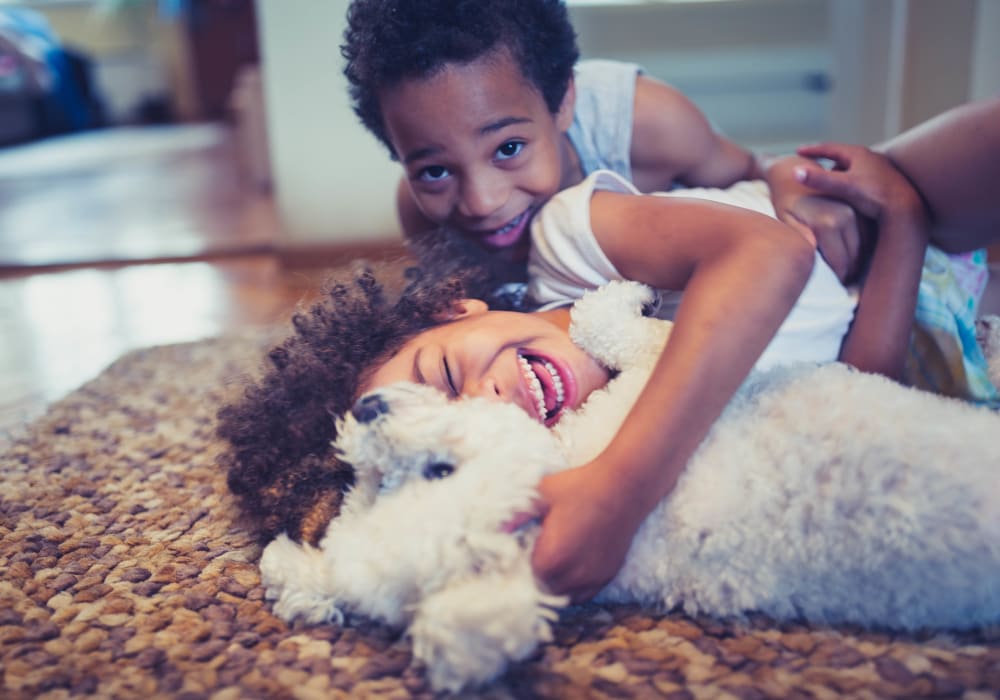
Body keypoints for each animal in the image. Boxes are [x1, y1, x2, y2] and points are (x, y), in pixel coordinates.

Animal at [260, 280, 1000, 696]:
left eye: (424, 473)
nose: (366, 411)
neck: (563, 465)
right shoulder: (652, 393)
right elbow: (628, 331)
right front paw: (630, 295)